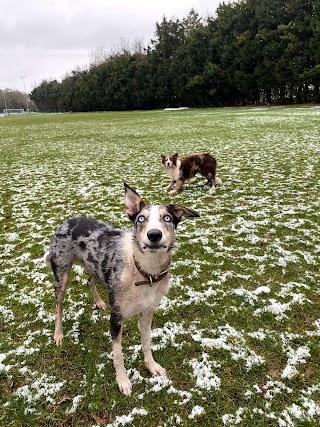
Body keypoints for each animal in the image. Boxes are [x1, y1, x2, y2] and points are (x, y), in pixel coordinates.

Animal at [43, 183, 199, 398]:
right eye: (141, 218)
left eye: (167, 218)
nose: (154, 235)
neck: (144, 273)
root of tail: (67, 221)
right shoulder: (116, 318)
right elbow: (118, 355)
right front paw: (123, 381)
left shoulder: (147, 312)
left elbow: (146, 342)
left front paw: (152, 366)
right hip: (61, 273)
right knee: (58, 305)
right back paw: (58, 334)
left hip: (94, 266)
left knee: (89, 280)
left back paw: (99, 301)